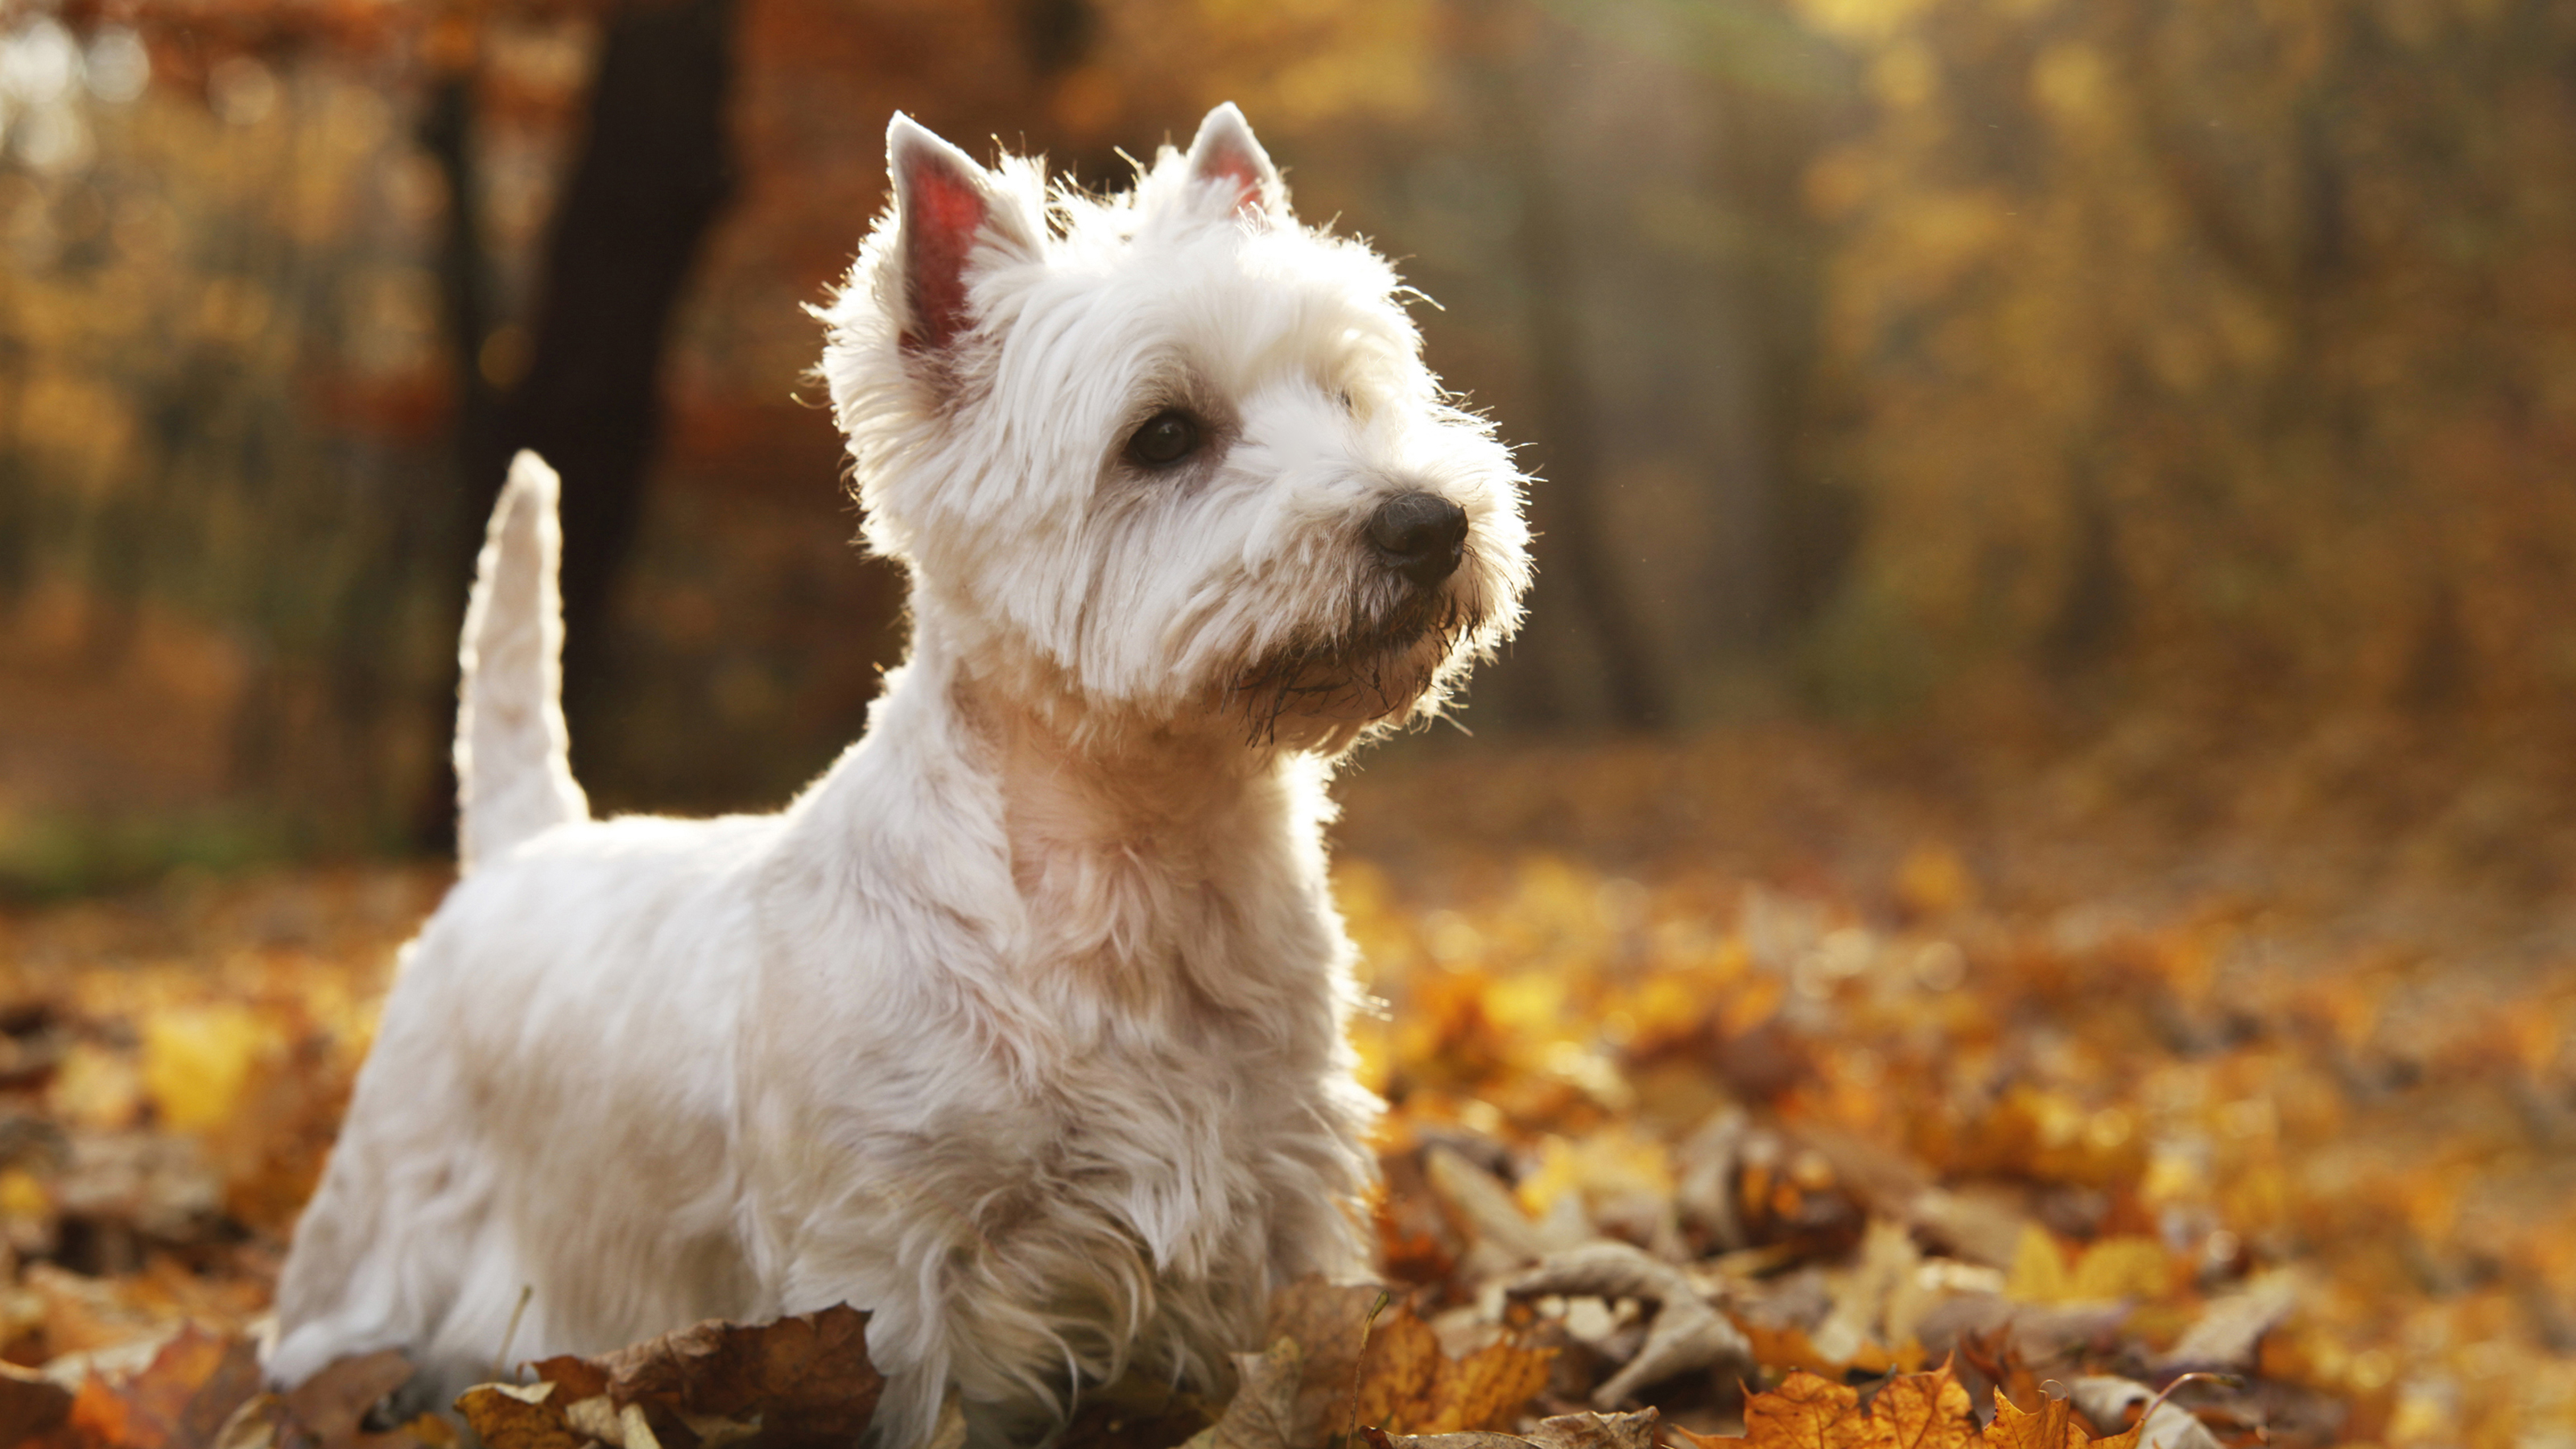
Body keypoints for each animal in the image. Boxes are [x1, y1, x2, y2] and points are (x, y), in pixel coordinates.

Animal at [266, 104, 1525, 1443]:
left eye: (1350, 395)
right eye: (1164, 436)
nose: (1425, 523)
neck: (1141, 860)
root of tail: (518, 846)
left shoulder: (1279, 1190)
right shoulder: (888, 1262)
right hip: (394, 1188)